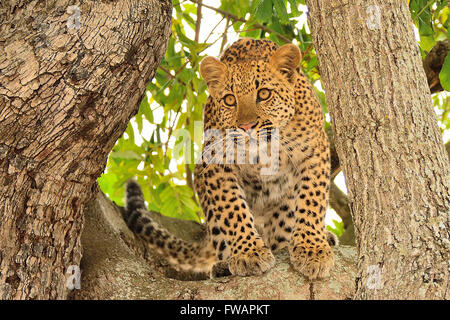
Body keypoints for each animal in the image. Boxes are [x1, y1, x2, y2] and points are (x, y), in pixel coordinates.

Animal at [123, 38, 338, 280]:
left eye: (264, 94)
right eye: (229, 100)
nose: (246, 126)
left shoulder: (314, 152)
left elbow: (312, 200)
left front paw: (312, 250)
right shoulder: (216, 162)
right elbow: (232, 209)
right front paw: (249, 253)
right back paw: (223, 264)